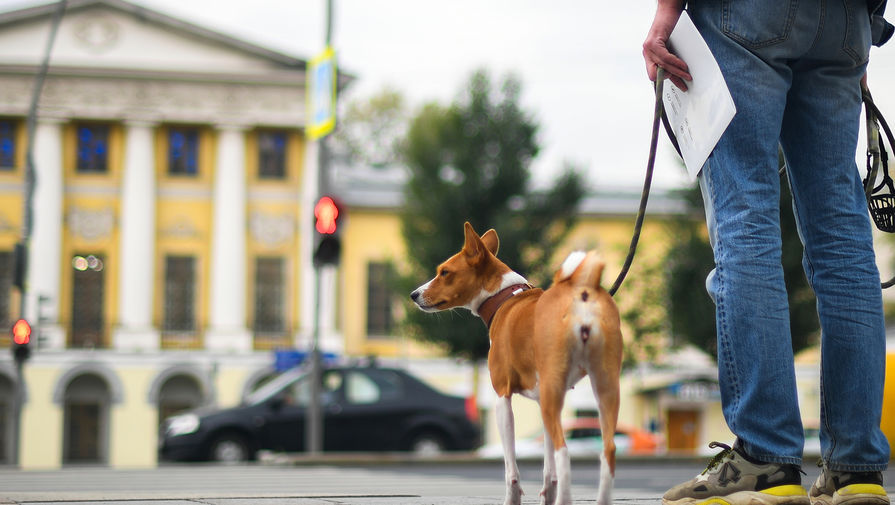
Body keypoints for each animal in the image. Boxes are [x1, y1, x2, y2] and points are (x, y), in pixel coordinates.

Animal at [412, 222, 624, 504]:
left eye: (445, 272)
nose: (414, 295)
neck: (504, 297)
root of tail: (582, 299)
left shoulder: (502, 396)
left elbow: (511, 468)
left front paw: (513, 498)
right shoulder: (545, 400)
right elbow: (548, 470)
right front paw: (547, 496)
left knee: (564, 452)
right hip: (603, 388)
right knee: (608, 451)